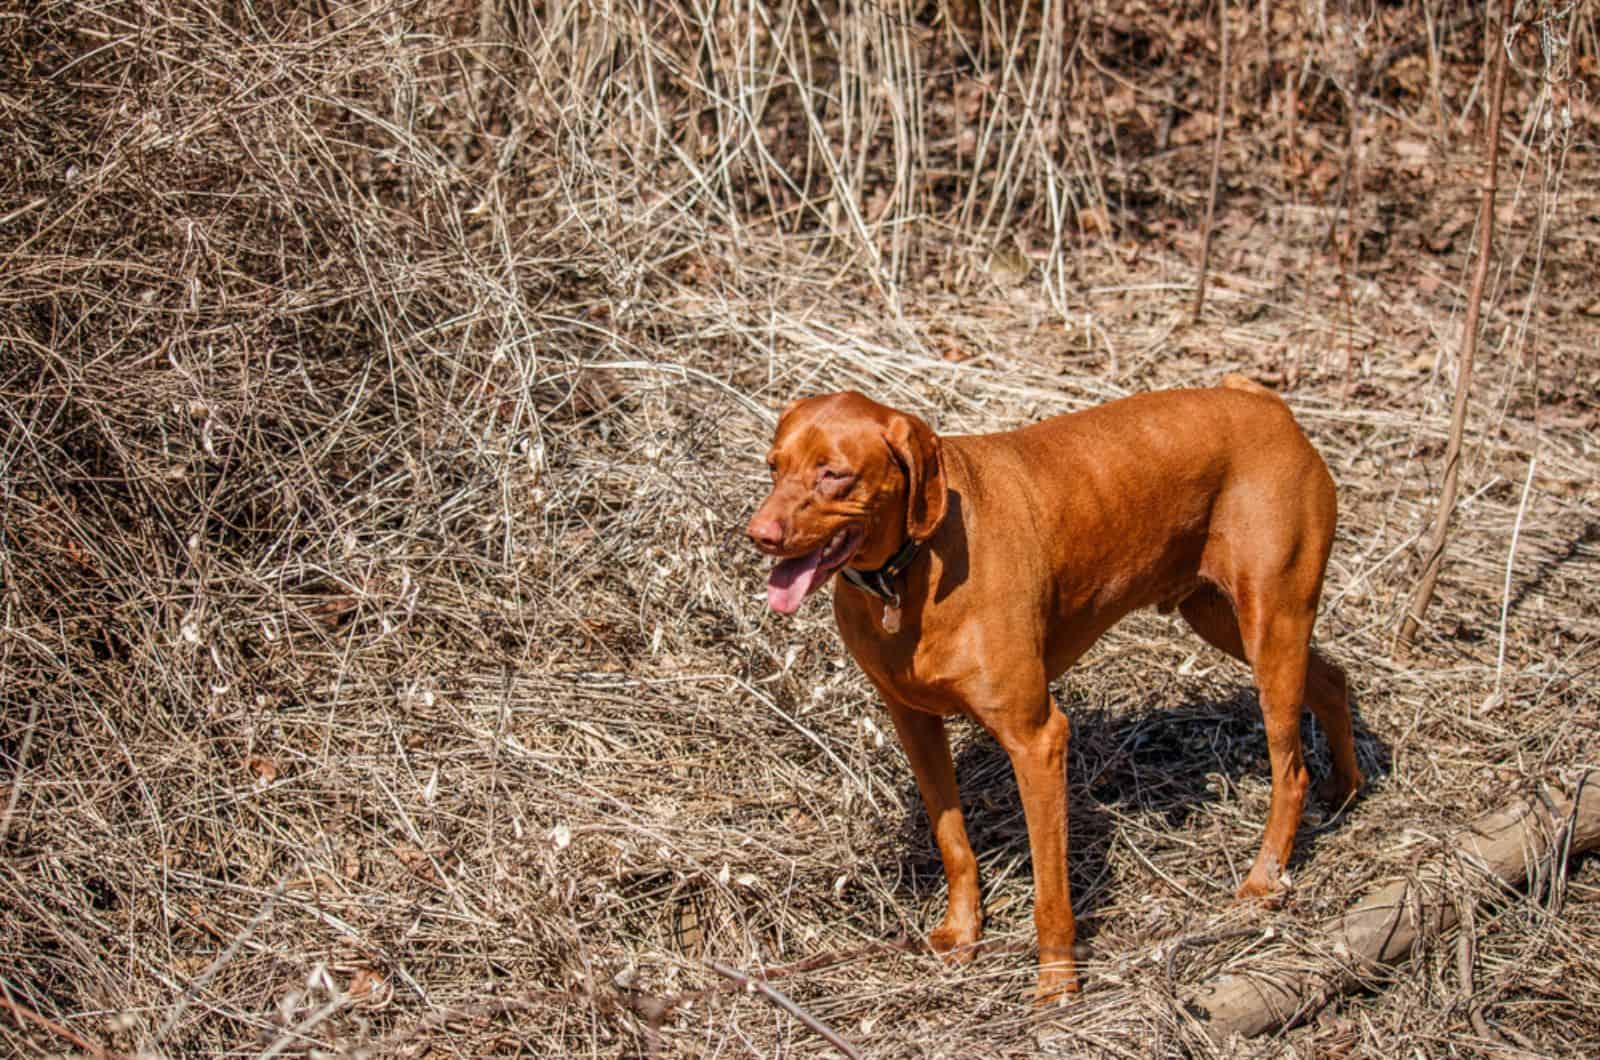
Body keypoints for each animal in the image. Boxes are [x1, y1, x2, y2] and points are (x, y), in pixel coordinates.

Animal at [745, 379, 1363, 1005]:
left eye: (835, 474)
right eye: (773, 466)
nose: (759, 536)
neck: (910, 572)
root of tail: (1268, 403)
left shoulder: (1037, 740)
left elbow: (1050, 891)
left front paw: (1058, 986)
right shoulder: (913, 722)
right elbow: (953, 842)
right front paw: (962, 933)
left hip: (1271, 624)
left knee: (1290, 772)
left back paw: (1264, 880)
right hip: (1220, 617)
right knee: (1332, 680)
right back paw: (1347, 786)